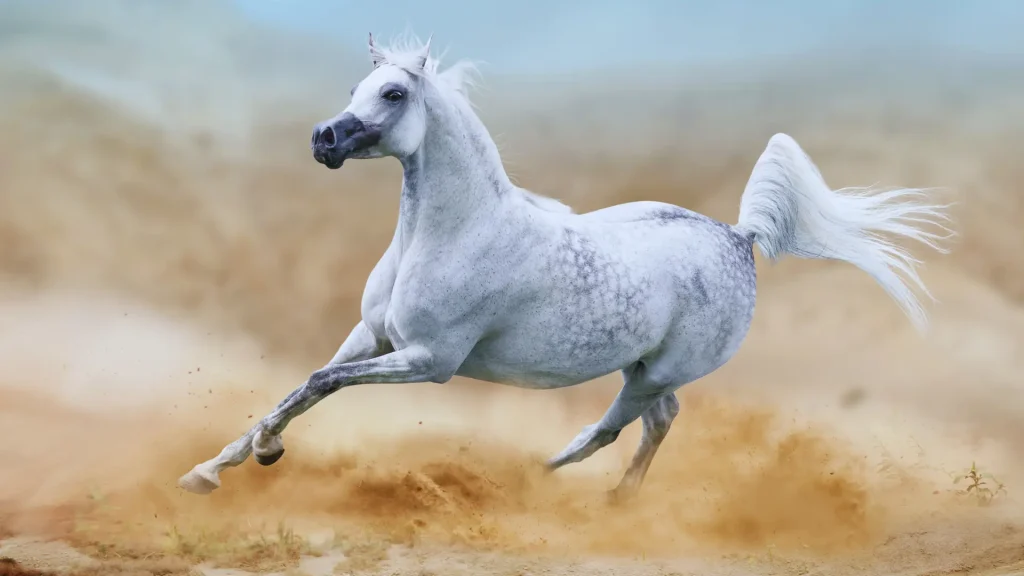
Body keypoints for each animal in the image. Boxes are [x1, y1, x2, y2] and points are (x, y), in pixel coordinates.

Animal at [178, 35, 952, 499]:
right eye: (354, 88)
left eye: (393, 95)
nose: (323, 139)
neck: (455, 233)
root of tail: (738, 237)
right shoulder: (371, 336)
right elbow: (304, 387)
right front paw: (214, 468)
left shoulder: (429, 360)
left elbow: (318, 383)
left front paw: (258, 457)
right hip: (642, 368)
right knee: (655, 423)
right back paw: (609, 500)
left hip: (656, 371)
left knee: (614, 429)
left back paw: (536, 489)